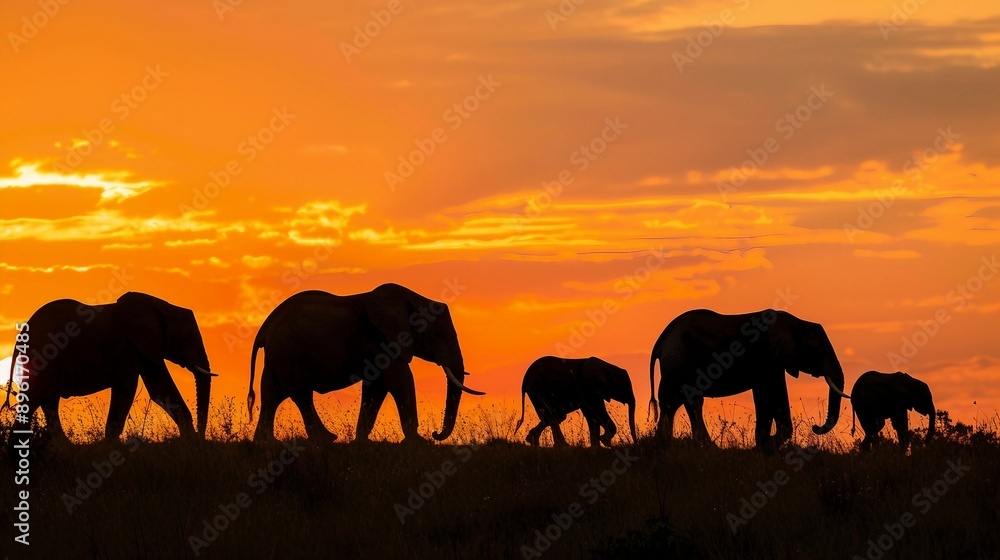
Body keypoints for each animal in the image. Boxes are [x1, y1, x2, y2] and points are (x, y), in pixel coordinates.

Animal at [3, 292, 216, 443]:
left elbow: (159, 390)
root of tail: (23, 332)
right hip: (44, 356)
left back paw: (65, 446)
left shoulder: (142, 349)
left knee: (48, 402)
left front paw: (189, 439)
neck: (161, 306)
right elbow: (127, 389)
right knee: (36, 398)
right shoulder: (127, 348)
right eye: (185, 339)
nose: (202, 437)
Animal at [247, 284, 484, 442]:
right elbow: (401, 381)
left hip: (278, 355)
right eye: (437, 334)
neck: (413, 298)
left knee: (272, 394)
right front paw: (419, 442)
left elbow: (376, 388)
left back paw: (264, 443)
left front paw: (361, 442)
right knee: (300, 394)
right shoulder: (381, 340)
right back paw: (327, 439)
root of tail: (265, 327)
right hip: (289, 352)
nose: (436, 434)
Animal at [648, 309, 849, 450]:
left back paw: (666, 445)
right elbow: (773, 394)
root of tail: (662, 338)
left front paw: (763, 445)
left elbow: (763, 395)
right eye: (819, 350)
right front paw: (766, 445)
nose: (815, 427)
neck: (797, 323)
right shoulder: (768, 358)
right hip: (678, 361)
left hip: (676, 363)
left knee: (681, 401)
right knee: (680, 400)